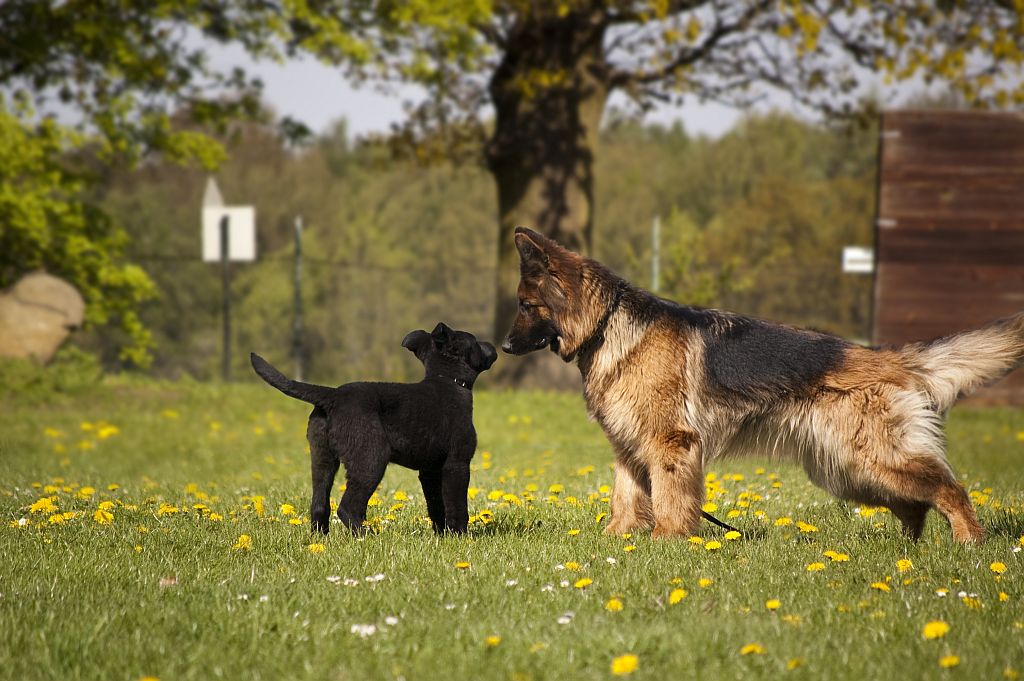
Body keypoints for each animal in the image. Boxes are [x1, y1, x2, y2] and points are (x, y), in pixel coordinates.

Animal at [503, 227, 1024, 540]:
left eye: (526, 306)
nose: (503, 348)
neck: (608, 323)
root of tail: (888, 356)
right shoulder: (631, 448)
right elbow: (626, 498)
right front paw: (618, 541)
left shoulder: (671, 445)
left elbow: (669, 499)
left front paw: (668, 541)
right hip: (849, 470)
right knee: (915, 505)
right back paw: (908, 553)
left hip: (871, 460)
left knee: (950, 491)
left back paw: (969, 545)